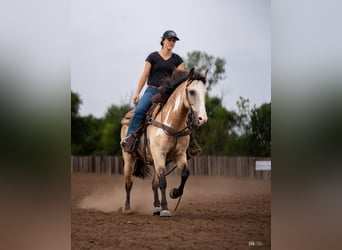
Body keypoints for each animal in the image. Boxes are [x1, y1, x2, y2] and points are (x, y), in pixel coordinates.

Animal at [120, 68, 207, 217]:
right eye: (191, 91)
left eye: (205, 92)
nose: (203, 119)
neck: (172, 124)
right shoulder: (159, 154)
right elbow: (163, 182)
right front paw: (165, 209)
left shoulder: (179, 155)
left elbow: (185, 174)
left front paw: (174, 193)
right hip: (128, 157)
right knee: (128, 183)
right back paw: (127, 208)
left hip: (155, 160)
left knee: (153, 183)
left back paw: (156, 208)